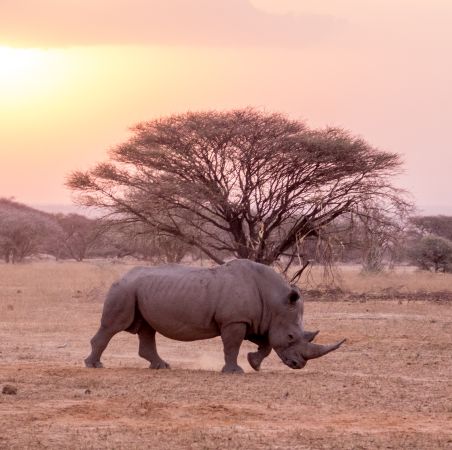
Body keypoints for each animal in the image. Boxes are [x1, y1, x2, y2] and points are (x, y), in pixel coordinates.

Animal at [85, 258, 346, 374]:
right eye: (291, 336)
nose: (298, 365)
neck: (275, 302)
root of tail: (120, 277)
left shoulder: (254, 320)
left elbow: (266, 344)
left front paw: (254, 363)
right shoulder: (234, 320)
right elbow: (232, 346)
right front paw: (235, 371)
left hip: (140, 291)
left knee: (148, 329)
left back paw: (162, 366)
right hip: (124, 290)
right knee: (113, 326)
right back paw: (95, 365)